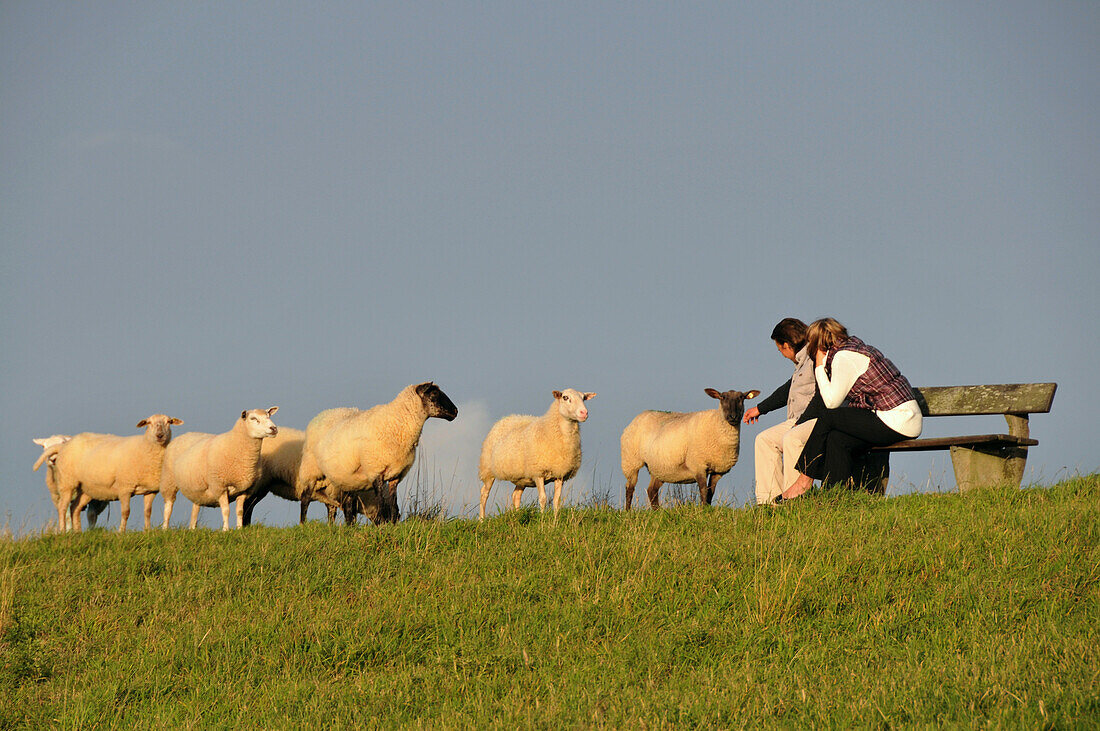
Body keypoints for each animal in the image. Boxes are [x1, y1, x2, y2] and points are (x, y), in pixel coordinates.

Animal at [47, 415, 183, 529]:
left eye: (169, 421)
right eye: (148, 422)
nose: (160, 435)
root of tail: (65, 445)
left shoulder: (150, 490)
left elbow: (148, 512)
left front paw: (147, 531)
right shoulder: (125, 487)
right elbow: (126, 512)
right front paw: (121, 531)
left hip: (87, 489)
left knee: (75, 507)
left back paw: (77, 532)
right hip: (67, 482)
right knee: (63, 507)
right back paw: (63, 531)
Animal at [294, 382, 457, 525]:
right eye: (434, 394)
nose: (456, 411)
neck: (399, 422)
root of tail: (323, 413)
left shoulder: (395, 475)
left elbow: (393, 505)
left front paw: (392, 524)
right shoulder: (376, 470)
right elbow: (381, 503)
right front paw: (383, 525)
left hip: (346, 480)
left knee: (346, 506)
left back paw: (346, 527)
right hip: (311, 470)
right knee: (305, 498)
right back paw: (303, 525)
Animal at [473, 386, 594, 518]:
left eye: (584, 398)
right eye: (565, 397)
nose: (584, 413)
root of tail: (506, 418)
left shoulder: (560, 474)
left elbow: (557, 500)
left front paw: (555, 519)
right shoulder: (538, 473)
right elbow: (543, 498)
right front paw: (542, 519)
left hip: (521, 478)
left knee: (516, 495)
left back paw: (517, 516)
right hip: (488, 470)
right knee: (484, 493)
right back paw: (482, 519)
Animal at [624, 386, 761, 507]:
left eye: (741, 398)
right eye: (722, 397)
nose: (733, 416)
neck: (716, 424)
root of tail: (640, 415)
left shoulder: (718, 470)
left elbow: (711, 492)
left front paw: (708, 508)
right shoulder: (698, 465)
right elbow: (704, 490)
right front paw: (703, 510)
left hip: (659, 468)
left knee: (652, 490)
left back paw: (657, 511)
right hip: (631, 461)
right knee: (630, 488)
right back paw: (628, 511)